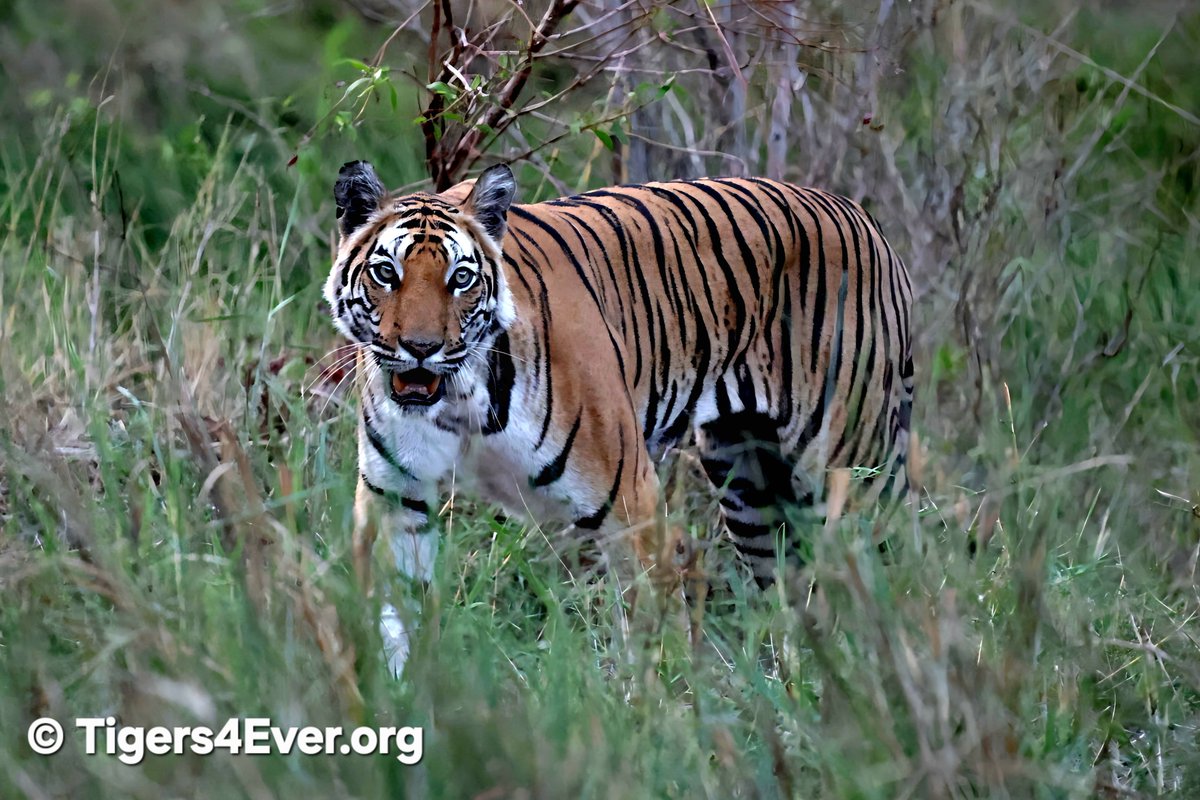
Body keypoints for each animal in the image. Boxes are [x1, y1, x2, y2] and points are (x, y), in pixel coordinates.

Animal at [325, 160, 914, 674]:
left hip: (850, 475)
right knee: (794, 600)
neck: (458, 396)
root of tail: (868, 222)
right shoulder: (397, 503)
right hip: (749, 484)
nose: (421, 349)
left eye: (461, 278)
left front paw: (659, 720)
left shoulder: (633, 506)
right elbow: (393, 623)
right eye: (386, 273)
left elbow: (656, 642)